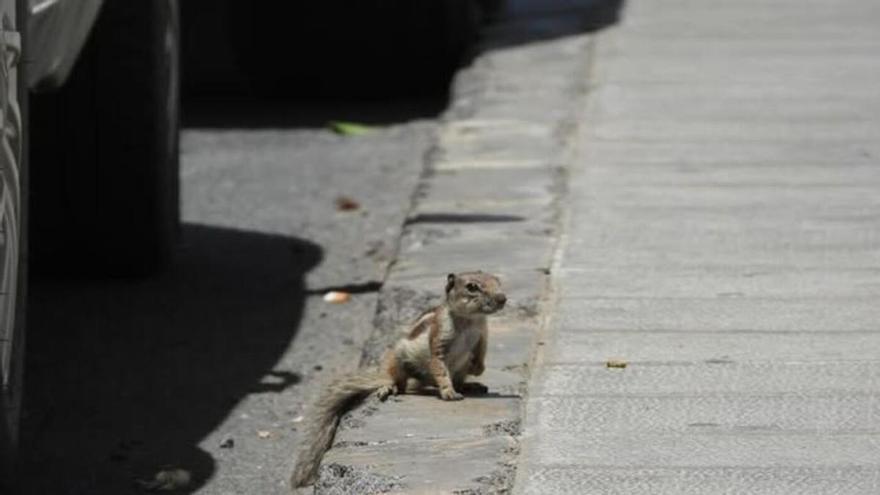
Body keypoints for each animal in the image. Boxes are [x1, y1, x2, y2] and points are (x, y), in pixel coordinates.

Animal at [291, 271, 507, 489]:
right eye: (472, 287)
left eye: (497, 281)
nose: (502, 299)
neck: (470, 321)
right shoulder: (439, 341)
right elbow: (440, 369)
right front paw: (448, 391)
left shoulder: (482, 336)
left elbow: (480, 355)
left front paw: (477, 368)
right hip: (397, 358)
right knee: (399, 382)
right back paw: (389, 386)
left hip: (453, 370)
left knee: (450, 380)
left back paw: (471, 385)